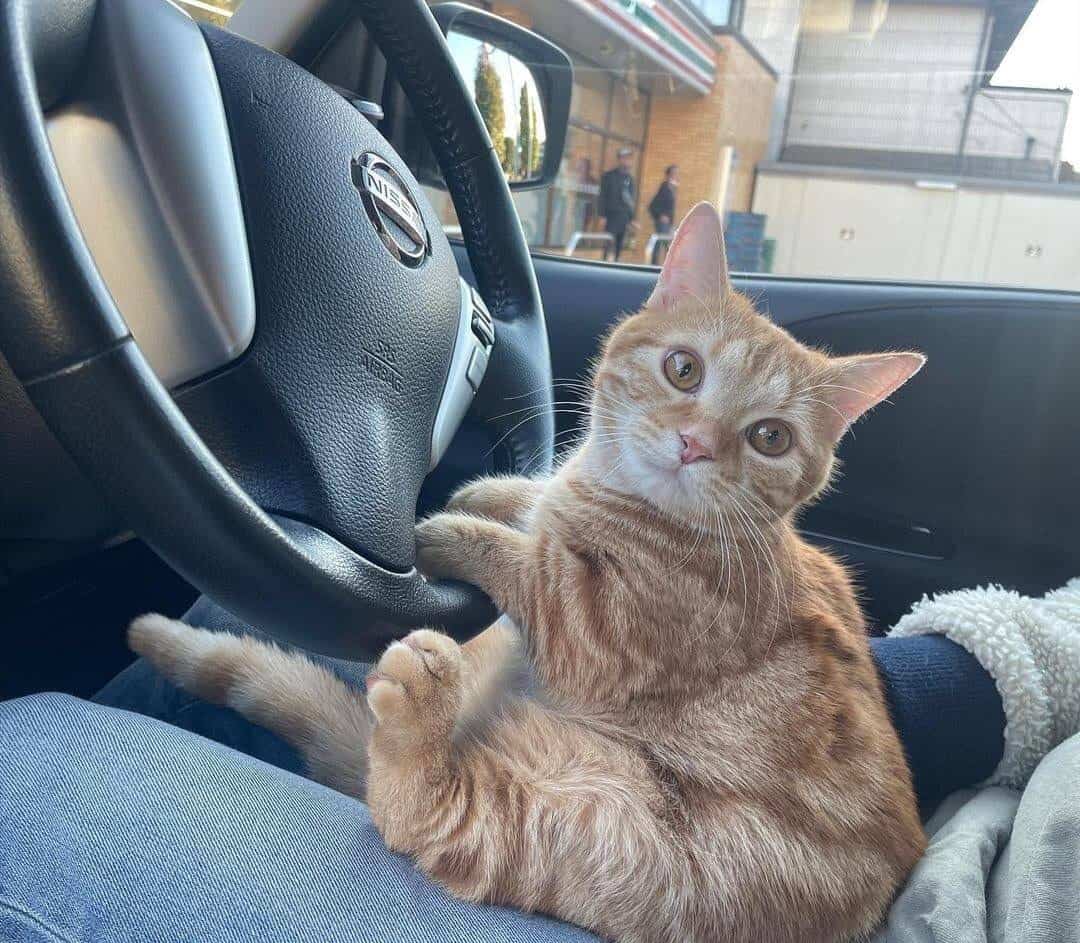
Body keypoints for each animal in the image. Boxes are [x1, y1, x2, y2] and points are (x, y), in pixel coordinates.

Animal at [132, 204, 928, 941]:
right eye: (684, 368)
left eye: (770, 438)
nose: (696, 445)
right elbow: (532, 503)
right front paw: (490, 495)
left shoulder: (593, 628)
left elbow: (529, 562)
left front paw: (449, 528)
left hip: (611, 831)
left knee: (432, 815)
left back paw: (420, 717)